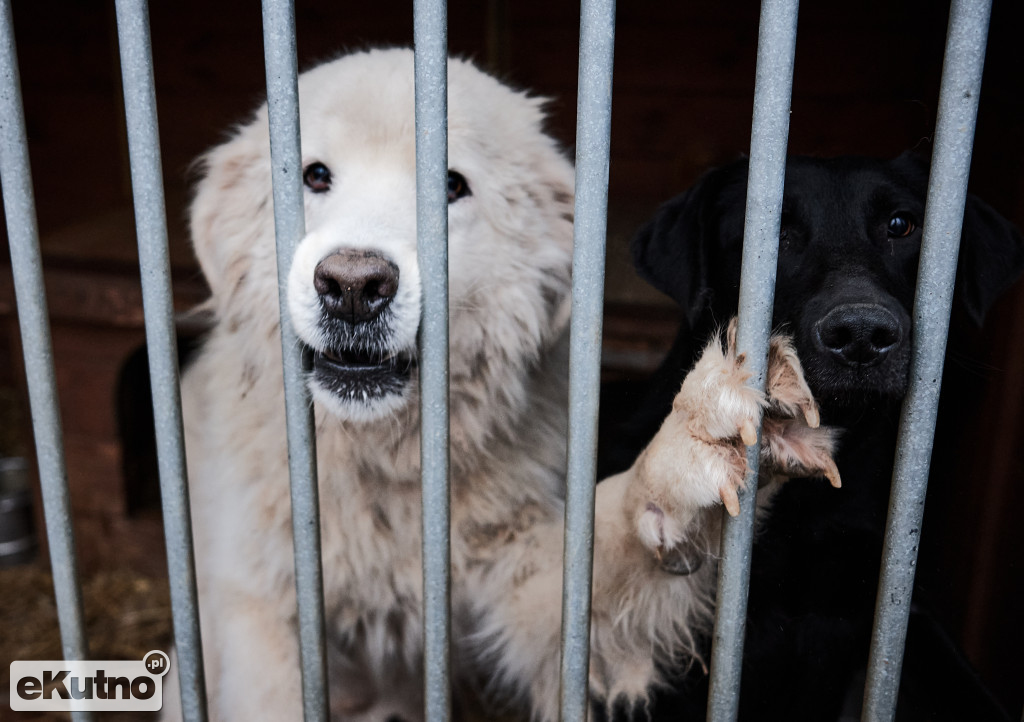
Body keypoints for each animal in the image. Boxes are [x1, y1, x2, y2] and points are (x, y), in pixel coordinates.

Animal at [169, 47, 839, 716]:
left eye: (450, 187)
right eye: (313, 176)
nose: (353, 286)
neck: (388, 465)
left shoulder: (532, 590)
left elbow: (609, 548)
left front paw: (691, 451)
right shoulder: (260, 614)